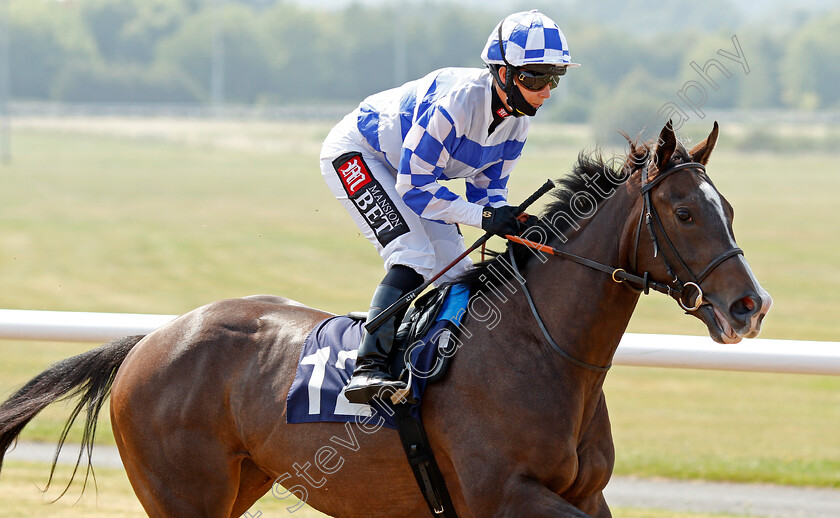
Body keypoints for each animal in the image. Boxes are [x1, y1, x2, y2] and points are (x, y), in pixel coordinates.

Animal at [1, 123, 776, 518]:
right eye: (684, 212)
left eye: (731, 209)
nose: (750, 305)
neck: (541, 350)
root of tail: (152, 339)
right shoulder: (503, 498)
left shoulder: (585, 496)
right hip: (182, 495)